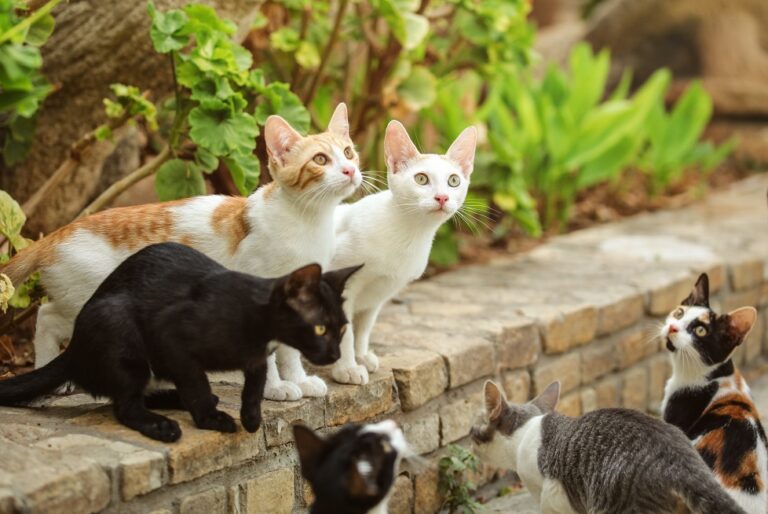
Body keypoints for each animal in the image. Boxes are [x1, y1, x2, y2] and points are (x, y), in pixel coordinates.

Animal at [0, 103, 364, 400]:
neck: (308, 221)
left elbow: (289, 349)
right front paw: (275, 388)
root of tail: (60, 231)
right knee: (46, 318)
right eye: (320, 160)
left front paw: (299, 380)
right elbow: (269, 351)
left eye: (348, 152)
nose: (350, 170)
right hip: (88, 297)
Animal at [0, 241, 362, 440]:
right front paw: (210, 419)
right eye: (320, 329)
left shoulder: (256, 358)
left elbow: (254, 384)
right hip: (119, 329)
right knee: (125, 404)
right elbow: (196, 383)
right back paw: (162, 426)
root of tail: (73, 347)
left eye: (343, 329)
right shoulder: (171, 339)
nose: (334, 354)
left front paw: (250, 416)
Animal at [328, 120, 474, 382]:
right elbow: (345, 331)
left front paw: (361, 355)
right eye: (421, 179)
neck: (409, 234)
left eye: (454, 181)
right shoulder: (340, 286)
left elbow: (363, 327)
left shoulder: (378, 293)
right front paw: (347, 367)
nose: (442, 197)